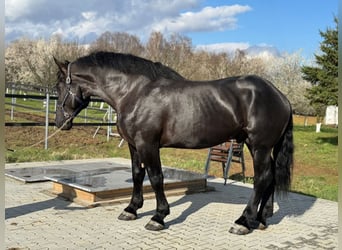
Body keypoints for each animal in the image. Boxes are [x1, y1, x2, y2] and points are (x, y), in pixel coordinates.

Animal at [53, 51, 294, 234]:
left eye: (58, 86)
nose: (59, 123)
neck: (134, 93)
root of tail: (280, 96)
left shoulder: (148, 144)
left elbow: (156, 178)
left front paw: (158, 217)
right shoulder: (134, 145)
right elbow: (137, 175)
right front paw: (131, 209)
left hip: (259, 146)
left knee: (262, 179)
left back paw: (243, 221)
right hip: (258, 147)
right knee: (270, 178)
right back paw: (260, 220)